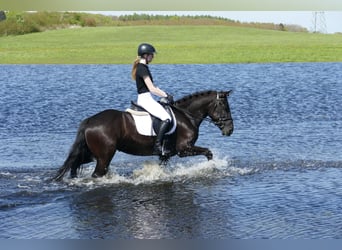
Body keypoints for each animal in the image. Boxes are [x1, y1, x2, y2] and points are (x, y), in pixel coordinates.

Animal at [53, 91, 234, 181]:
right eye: (224, 106)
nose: (230, 130)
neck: (186, 115)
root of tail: (90, 121)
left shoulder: (167, 154)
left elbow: (161, 167)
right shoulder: (184, 149)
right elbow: (208, 153)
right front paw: (211, 168)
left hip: (92, 154)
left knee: (75, 165)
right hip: (104, 156)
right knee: (96, 174)